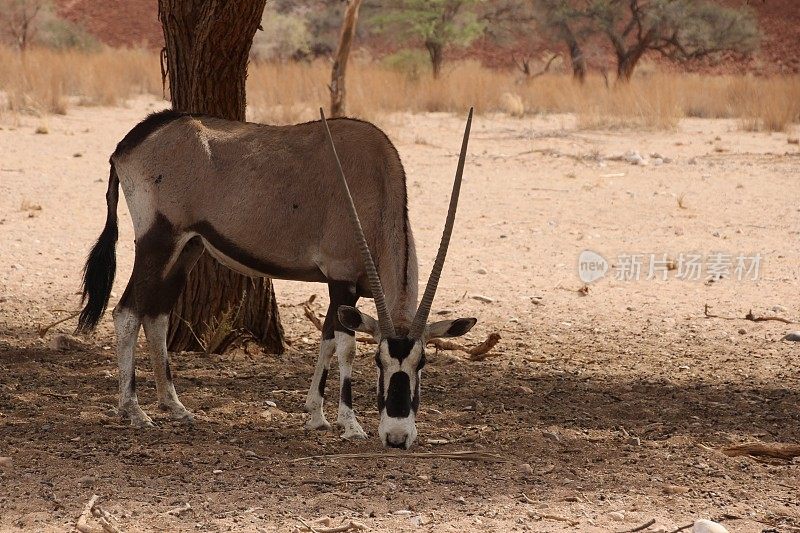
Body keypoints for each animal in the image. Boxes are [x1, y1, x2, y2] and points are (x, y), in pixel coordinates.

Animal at [76, 106, 476, 446]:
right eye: (379, 361)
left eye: (421, 363)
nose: (396, 437)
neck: (375, 185)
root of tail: (130, 142)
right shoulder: (341, 280)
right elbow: (344, 347)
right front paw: (350, 424)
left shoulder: (343, 290)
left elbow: (326, 340)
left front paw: (315, 415)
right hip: (157, 241)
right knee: (127, 313)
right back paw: (134, 410)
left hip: (187, 248)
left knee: (156, 316)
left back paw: (174, 406)